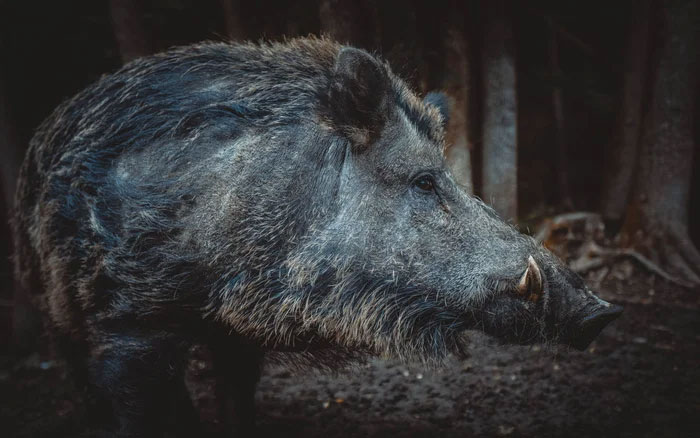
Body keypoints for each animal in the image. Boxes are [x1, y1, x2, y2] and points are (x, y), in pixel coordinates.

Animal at [12, 37, 622, 436]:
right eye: (425, 180)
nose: (601, 311)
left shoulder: (236, 330)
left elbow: (238, 396)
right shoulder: (130, 323)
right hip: (50, 301)